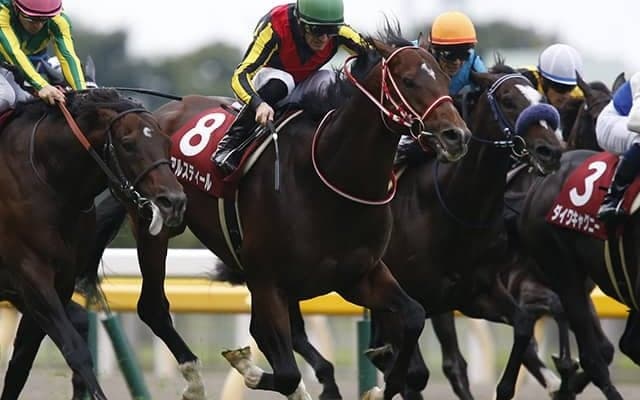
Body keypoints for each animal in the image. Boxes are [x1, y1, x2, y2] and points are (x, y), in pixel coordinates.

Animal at [0, 88, 186, 400]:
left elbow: (23, 359)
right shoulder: (30, 274)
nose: (173, 202)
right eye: (128, 144)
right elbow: (75, 350)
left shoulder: (59, 281)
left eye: (167, 141)